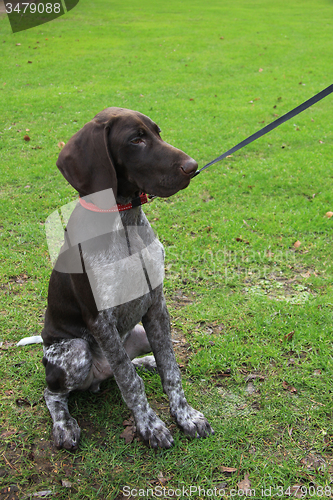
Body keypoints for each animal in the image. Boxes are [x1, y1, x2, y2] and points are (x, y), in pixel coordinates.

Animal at [41, 107, 213, 452]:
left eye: (158, 133)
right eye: (136, 140)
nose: (193, 167)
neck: (124, 220)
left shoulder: (156, 304)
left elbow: (170, 369)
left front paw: (185, 415)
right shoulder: (100, 321)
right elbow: (130, 384)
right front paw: (150, 426)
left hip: (139, 333)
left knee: (130, 364)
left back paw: (146, 361)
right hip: (74, 351)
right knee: (55, 393)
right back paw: (64, 425)